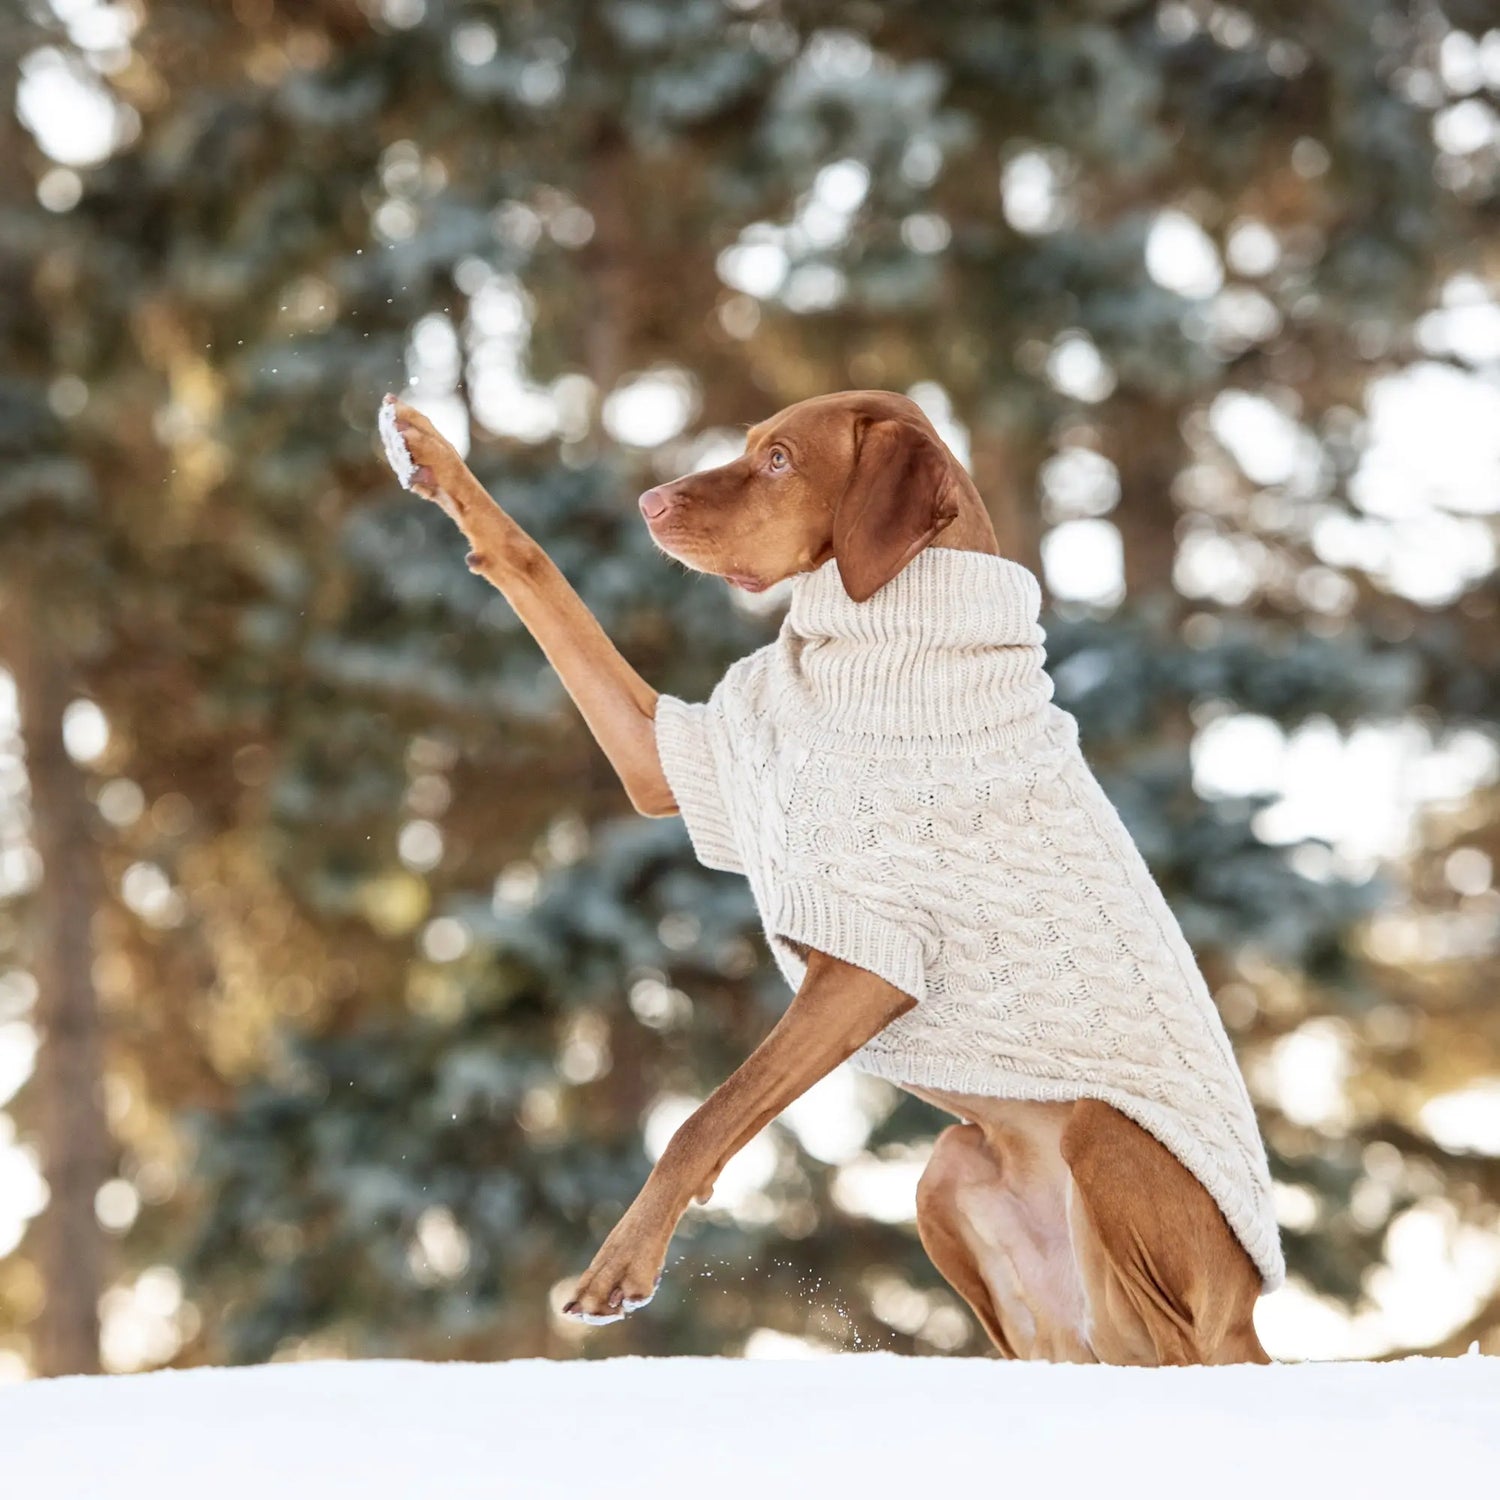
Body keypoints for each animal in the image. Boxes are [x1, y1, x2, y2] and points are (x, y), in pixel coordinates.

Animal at [393, 393, 1272, 1368]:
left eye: (780, 459)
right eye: (750, 445)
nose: (649, 503)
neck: (898, 642)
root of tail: (1249, 1313)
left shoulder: (870, 963)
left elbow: (705, 1118)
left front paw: (619, 1267)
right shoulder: (680, 766)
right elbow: (538, 568)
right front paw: (433, 460)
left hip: (1107, 1145)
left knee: (1173, 1348)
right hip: (953, 1179)